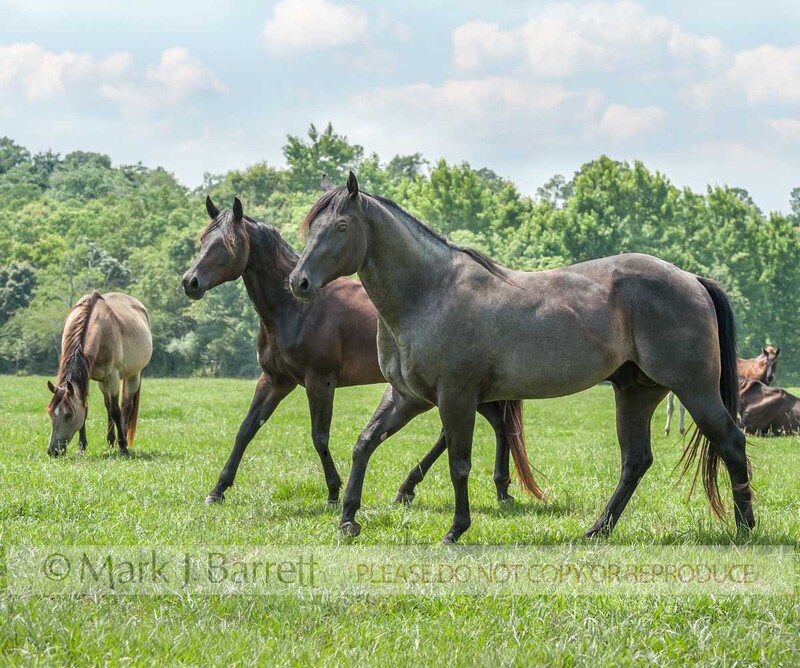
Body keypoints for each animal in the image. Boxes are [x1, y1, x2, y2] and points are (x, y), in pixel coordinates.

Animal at [46, 291, 152, 457]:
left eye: (68, 415)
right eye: (50, 412)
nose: (53, 451)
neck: (98, 328)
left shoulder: (113, 376)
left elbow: (116, 411)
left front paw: (123, 447)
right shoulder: (87, 377)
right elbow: (87, 409)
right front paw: (81, 447)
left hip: (133, 375)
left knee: (126, 405)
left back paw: (123, 439)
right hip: (102, 382)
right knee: (108, 405)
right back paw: (110, 441)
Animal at [181, 196, 541, 506]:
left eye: (227, 244)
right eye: (203, 241)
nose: (190, 282)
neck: (294, 309)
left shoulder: (319, 381)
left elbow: (319, 436)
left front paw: (333, 490)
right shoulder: (274, 381)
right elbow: (245, 430)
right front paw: (218, 489)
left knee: (476, 429)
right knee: (493, 427)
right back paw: (492, 488)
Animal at [289, 172, 753, 543]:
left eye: (342, 226)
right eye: (311, 227)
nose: (299, 282)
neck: (429, 293)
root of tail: (691, 278)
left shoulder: (455, 397)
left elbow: (459, 463)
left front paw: (456, 529)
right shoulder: (408, 398)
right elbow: (364, 443)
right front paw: (348, 518)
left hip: (694, 389)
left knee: (731, 441)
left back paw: (745, 527)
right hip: (636, 393)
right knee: (635, 461)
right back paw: (597, 529)